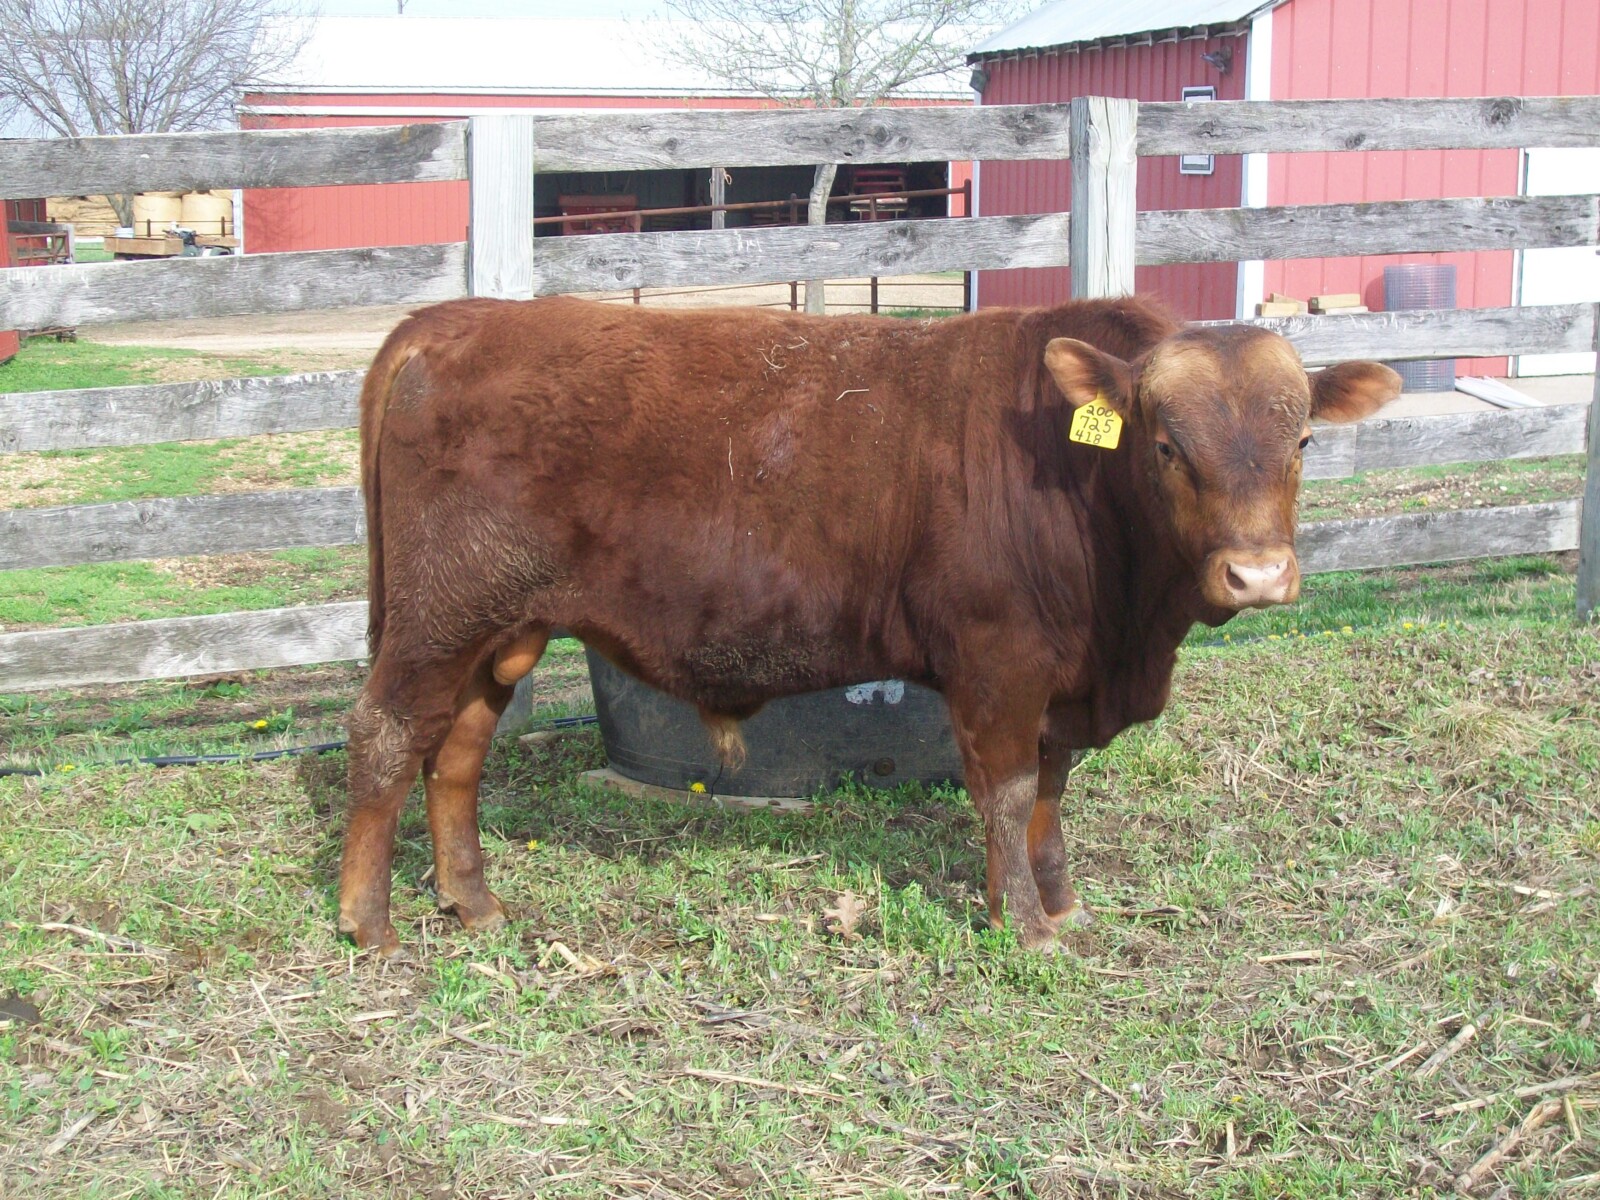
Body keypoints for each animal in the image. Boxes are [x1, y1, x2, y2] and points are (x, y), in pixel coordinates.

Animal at [338, 295, 1400, 956]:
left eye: (1303, 439)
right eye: (1168, 443)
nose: (1258, 574)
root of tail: (450, 320)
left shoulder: (1061, 680)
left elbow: (1051, 795)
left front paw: (1056, 904)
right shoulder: (998, 664)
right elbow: (1009, 795)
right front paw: (1025, 927)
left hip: (499, 630)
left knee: (457, 753)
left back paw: (472, 902)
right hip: (438, 617)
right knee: (386, 736)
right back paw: (368, 921)